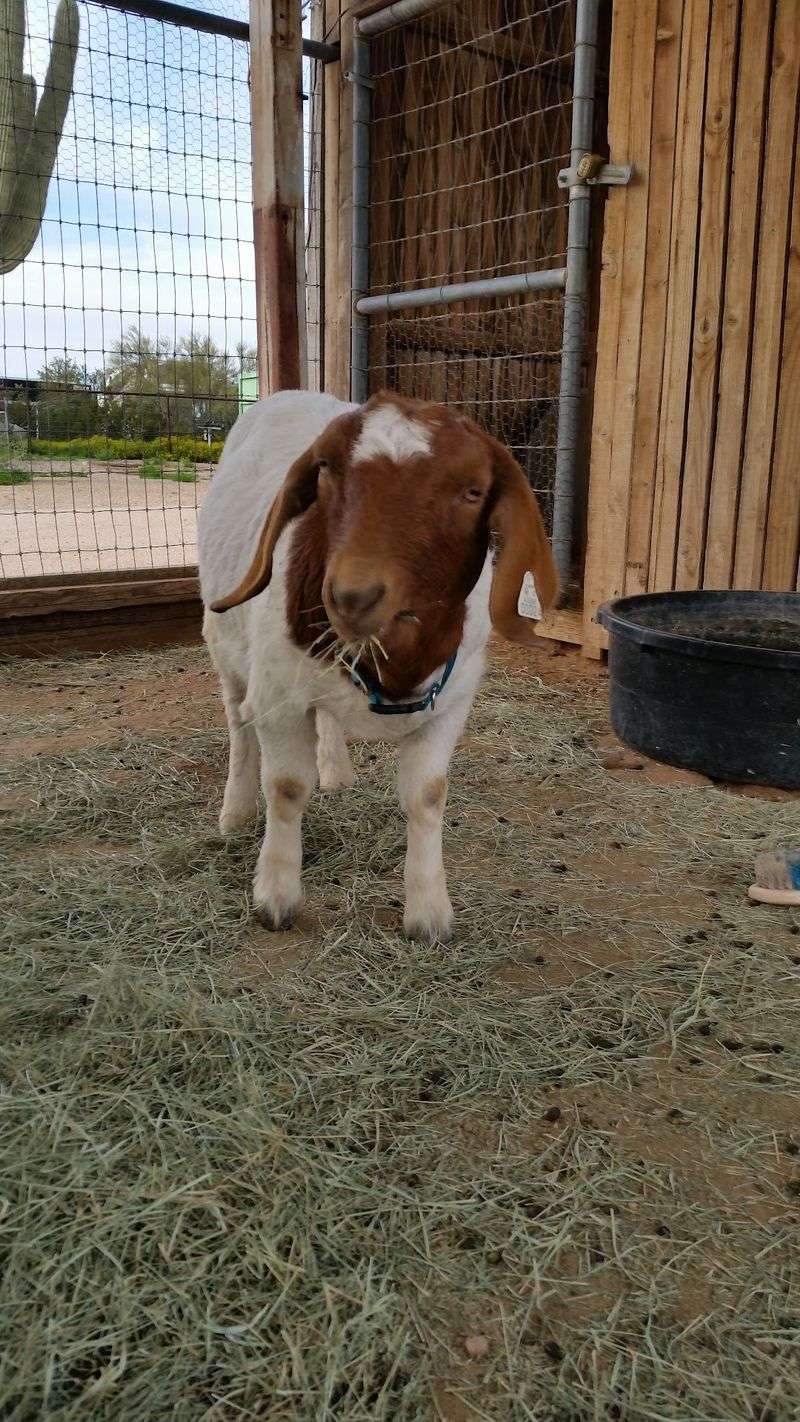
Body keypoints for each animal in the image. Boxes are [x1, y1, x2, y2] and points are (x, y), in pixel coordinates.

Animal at [198, 388, 558, 942]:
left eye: (472, 491)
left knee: (325, 718)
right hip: (227, 647)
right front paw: (275, 896)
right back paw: (235, 812)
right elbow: (286, 788)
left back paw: (335, 771)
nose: (352, 596)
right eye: (325, 470)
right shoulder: (278, 696)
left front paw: (429, 913)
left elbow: (429, 795)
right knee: (239, 723)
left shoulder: (451, 705)